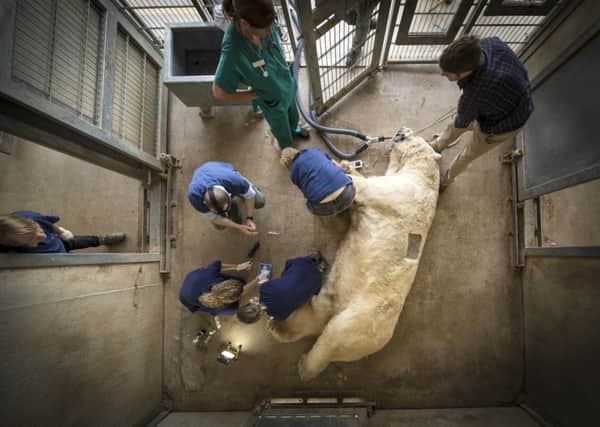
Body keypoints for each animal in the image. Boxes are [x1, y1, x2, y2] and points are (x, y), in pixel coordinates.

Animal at [270, 128, 438, 382]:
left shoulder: (404, 192)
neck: (424, 177)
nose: (401, 130)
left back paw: (304, 366)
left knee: (331, 338)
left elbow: (363, 188)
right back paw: (278, 329)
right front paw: (348, 164)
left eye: (412, 135)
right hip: (335, 298)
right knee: (315, 313)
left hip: (361, 320)